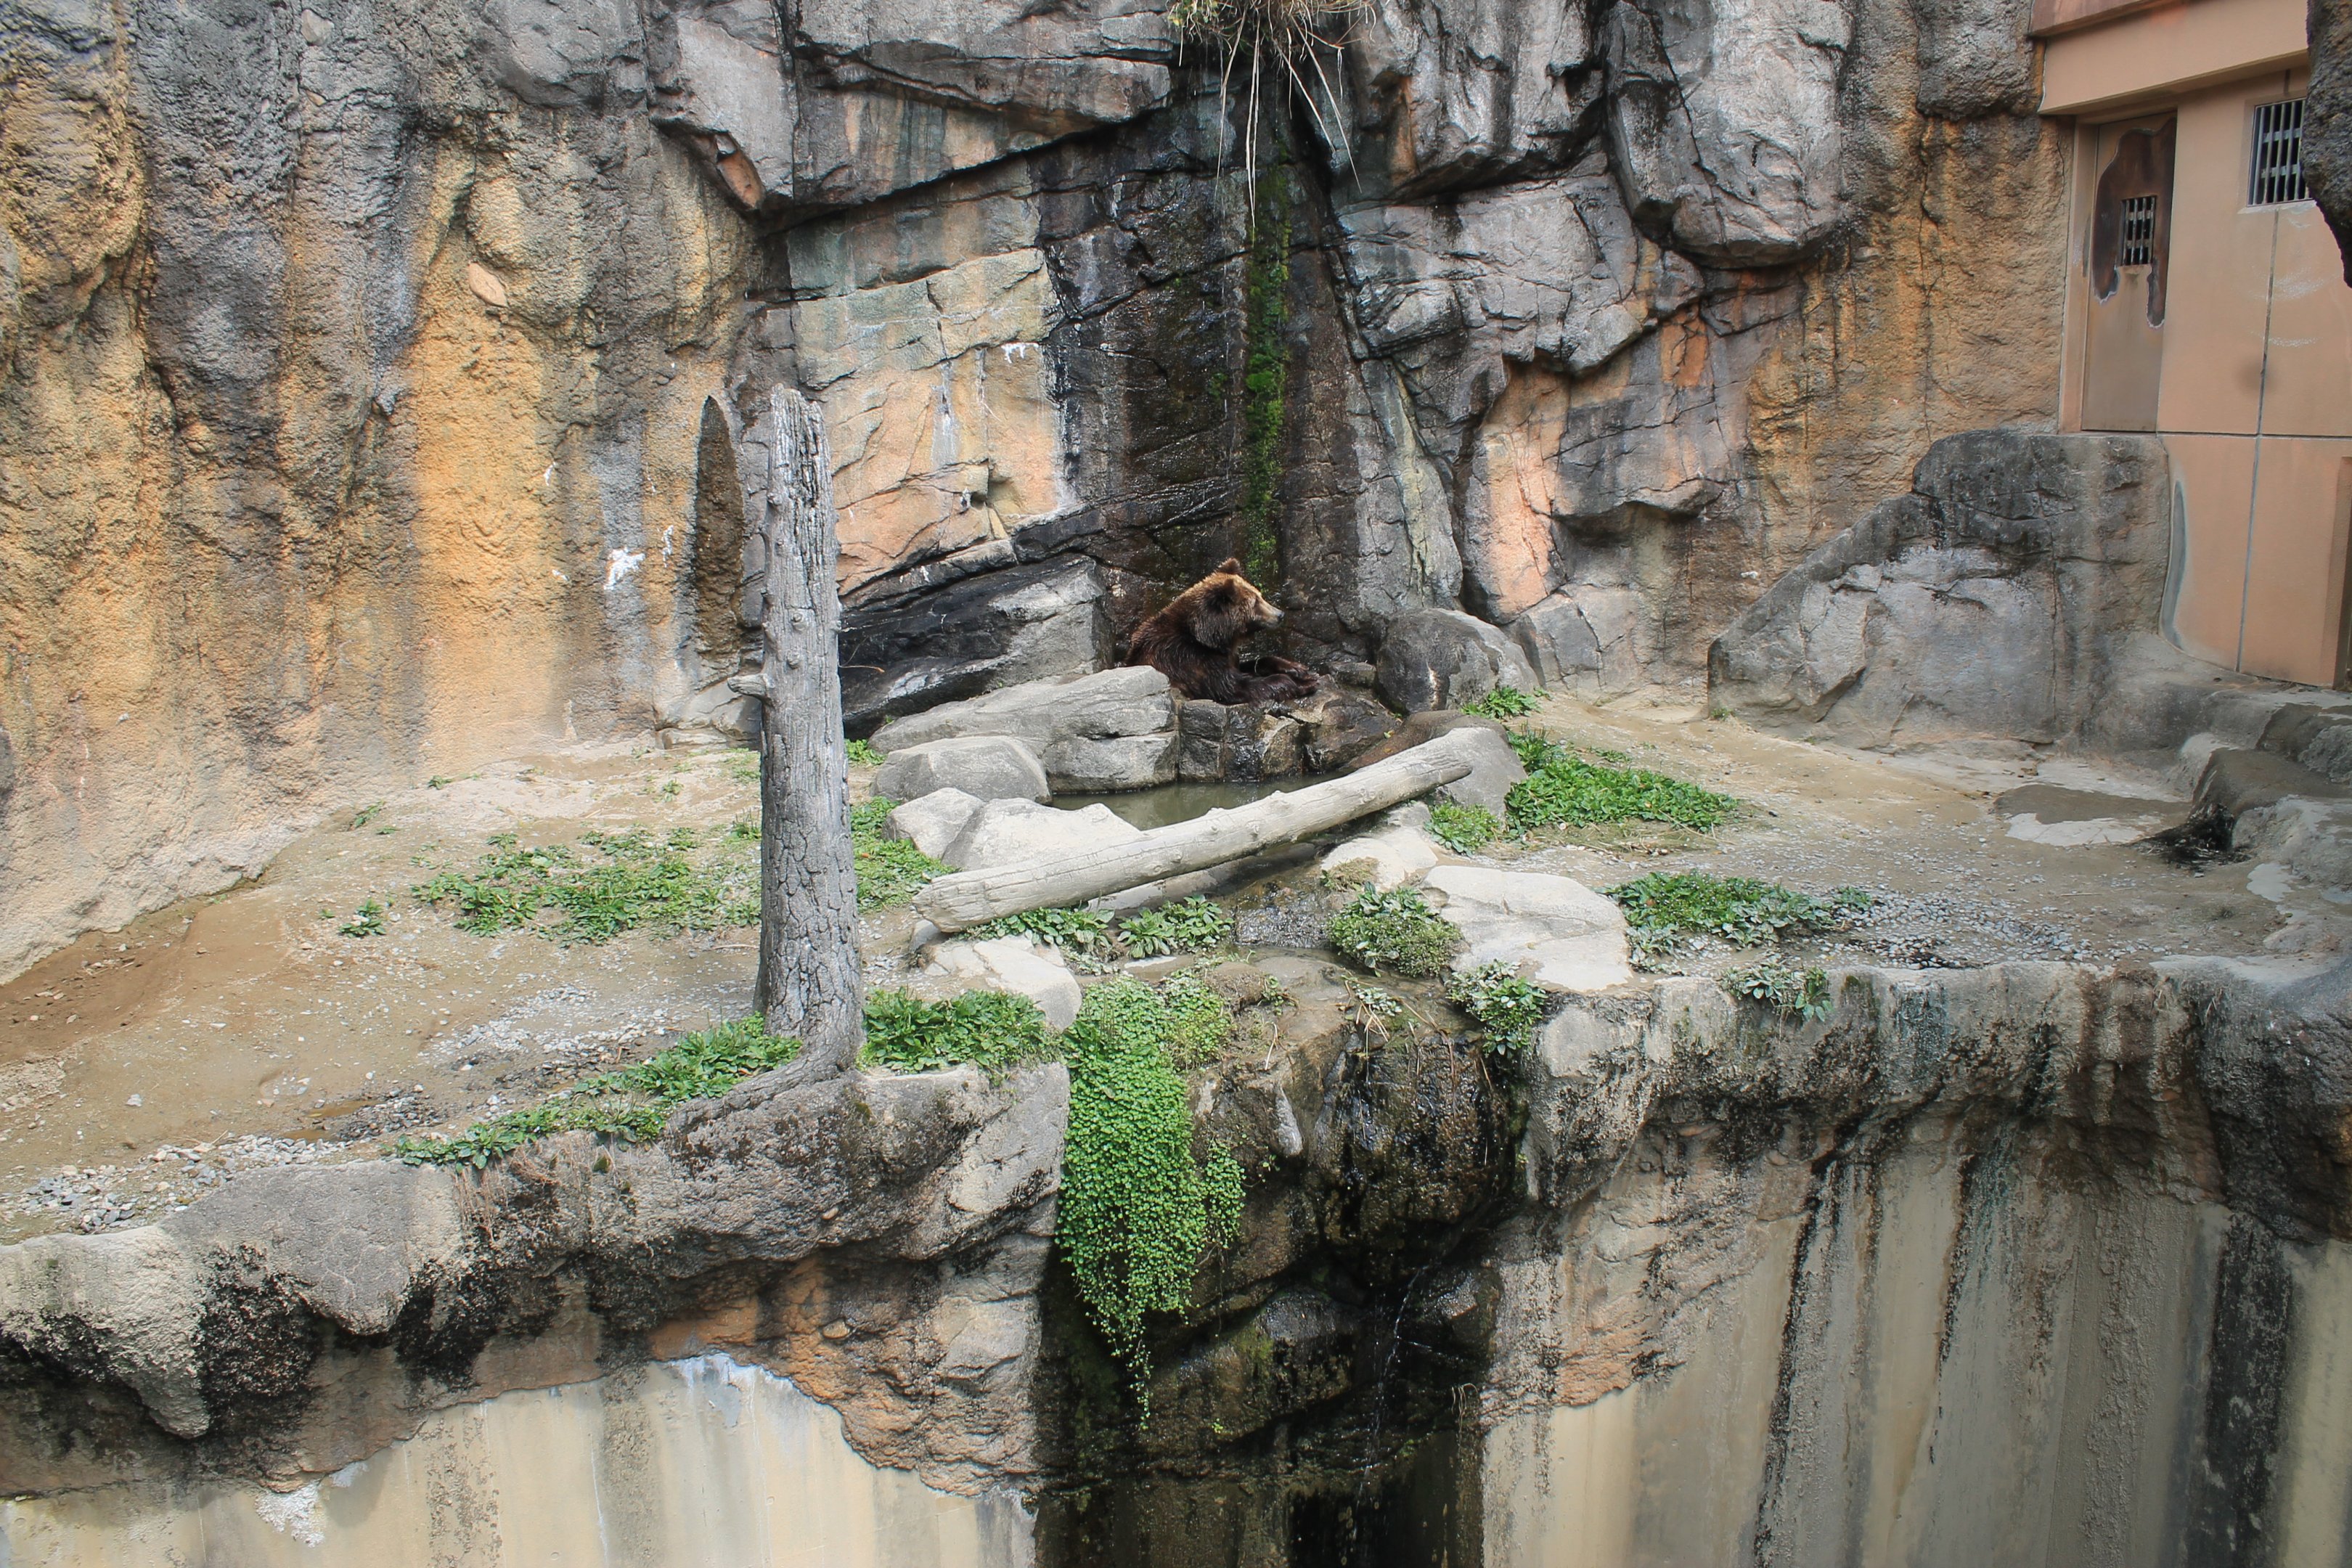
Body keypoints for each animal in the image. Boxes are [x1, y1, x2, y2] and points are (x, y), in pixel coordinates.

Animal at [1124, 558, 1322, 704]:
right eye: (1255, 602)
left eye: (1260, 595)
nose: (1280, 614)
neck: (1207, 636)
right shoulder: (1187, 658)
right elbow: (1232, 686)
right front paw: (1304, 683)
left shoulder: (1225, 655)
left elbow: (1250, 665)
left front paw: (1299, 669)